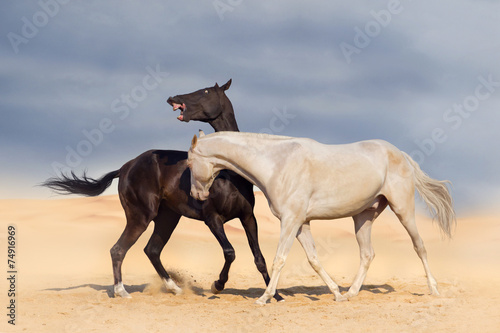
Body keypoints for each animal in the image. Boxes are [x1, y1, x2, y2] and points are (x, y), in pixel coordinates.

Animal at [44, 79, 282, 300]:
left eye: (205, 91)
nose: (173, 98)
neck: (227, 173)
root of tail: (125, 167)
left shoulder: (248, 217)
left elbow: (259, 258)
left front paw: (275, 295)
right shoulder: (212, 218)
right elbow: (230, 252)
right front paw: (217, 285)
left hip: (167, 218)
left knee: (152, 250)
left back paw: (175, 288)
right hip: (141, 217)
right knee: (118, 250)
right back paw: (122, 291)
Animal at [187, 130, 454, 304]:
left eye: (189, 163)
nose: (196, 195)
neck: (277, 164)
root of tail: (400, 154)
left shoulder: (290, 221)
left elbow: (279, 259)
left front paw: (265, 298)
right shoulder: (301, 224)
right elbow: (313, 259)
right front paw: (336, 293)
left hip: (403, 210)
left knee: (419, 247)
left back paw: (434, 290)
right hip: (363, 217)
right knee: (367, 254)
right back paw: (351, 293)